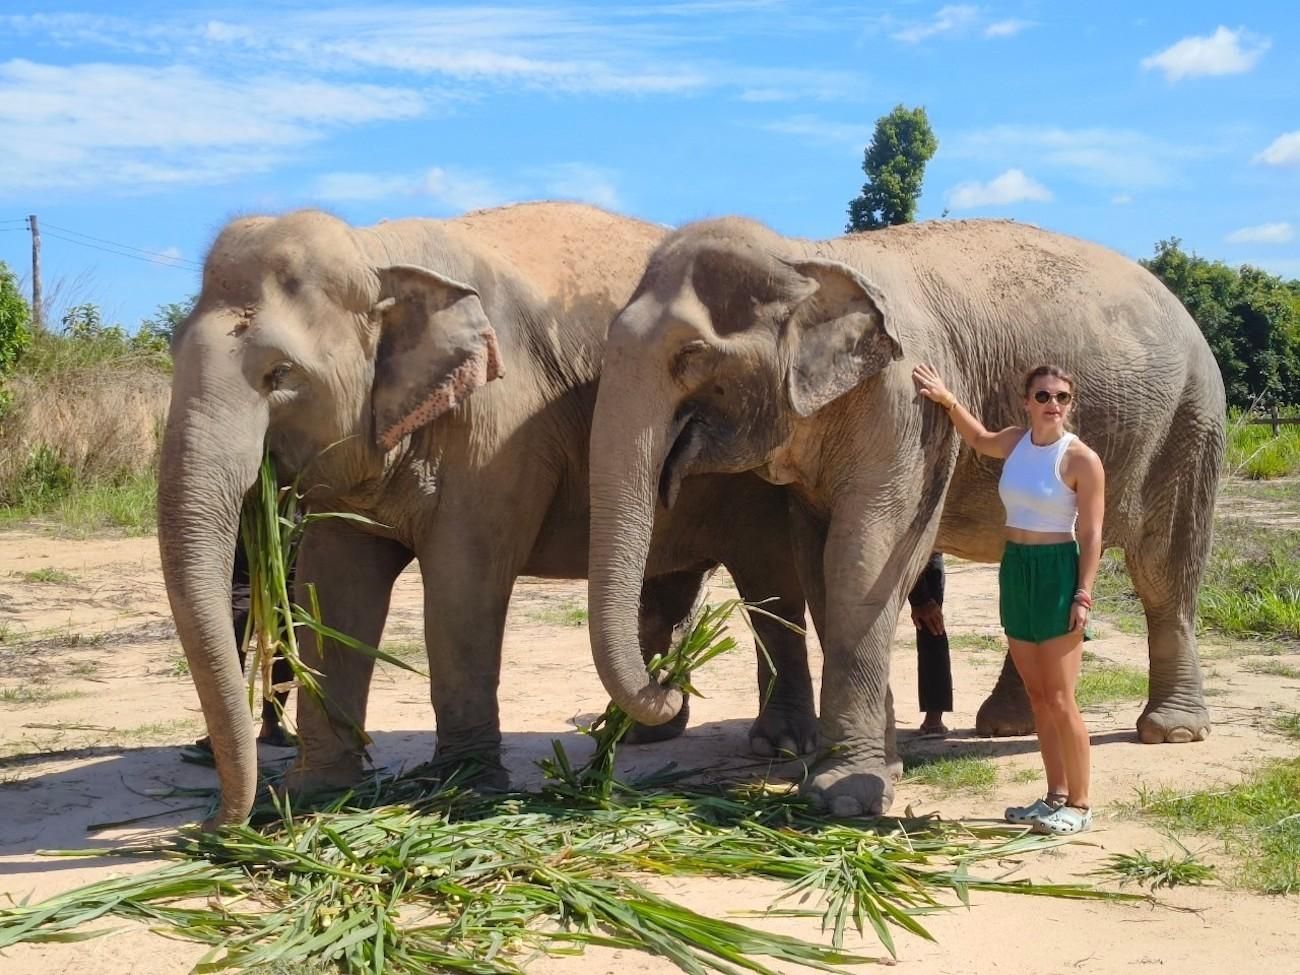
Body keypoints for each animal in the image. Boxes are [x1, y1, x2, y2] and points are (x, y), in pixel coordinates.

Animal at [159, 202, 814, 830]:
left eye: (280, 374)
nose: (213, 825)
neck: (378, 250)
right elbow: (334, 587)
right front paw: (310, 793)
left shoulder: (501, 427)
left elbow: (463, 585)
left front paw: (461, 792)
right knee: (667, 593)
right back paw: (641, 730)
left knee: (768, 583)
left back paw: (775, 745)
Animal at [586, 215, 1226, 817]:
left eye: (690, 356)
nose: (670, 690)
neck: (806, 254)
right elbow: (822, 567)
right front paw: (878, 768)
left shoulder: (906, 409)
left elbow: (865, 559)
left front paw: (844, 796)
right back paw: (1006, 724)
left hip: (1191, 427)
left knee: (1164, 571)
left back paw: (1170, 731)